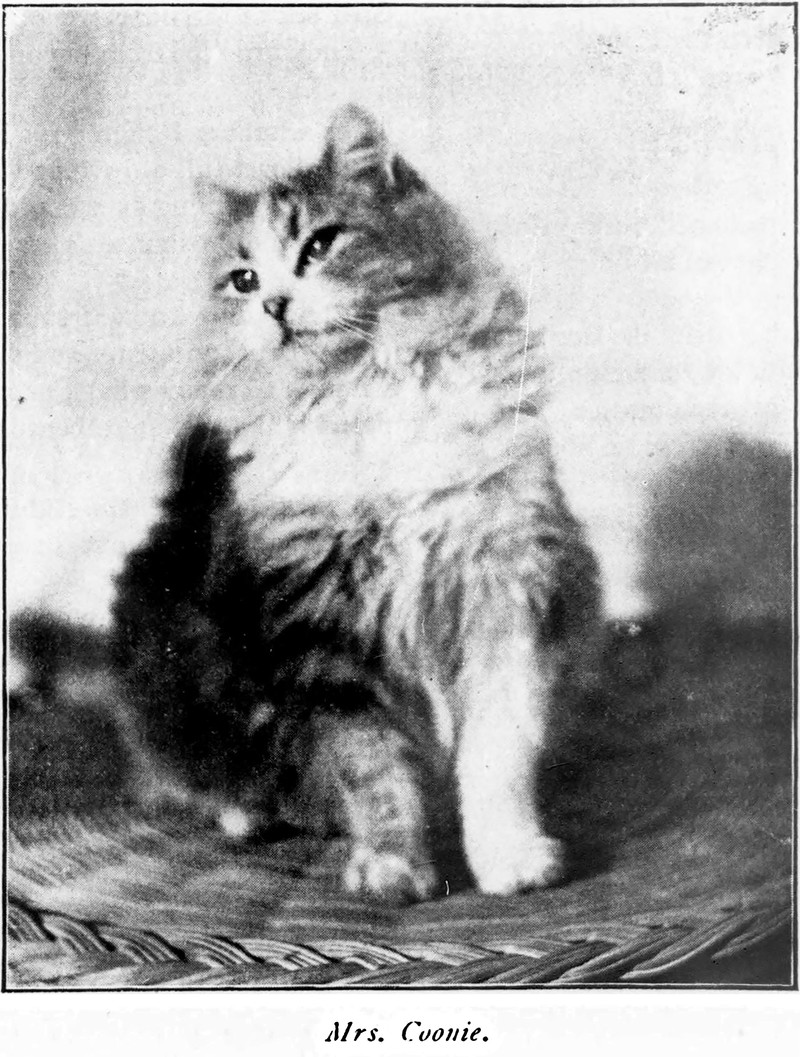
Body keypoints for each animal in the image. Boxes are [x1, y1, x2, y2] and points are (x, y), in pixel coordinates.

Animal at [110, 105, 602, 903]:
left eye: (319, 244)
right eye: (242, 279)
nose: (275, 304)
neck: (367, 390)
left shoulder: (504, 592)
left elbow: (496, 756)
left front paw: (510, 857)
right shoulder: (317, 628)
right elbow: (373, 768)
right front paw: (395, 867)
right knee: (197, 775)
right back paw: (247, 815)